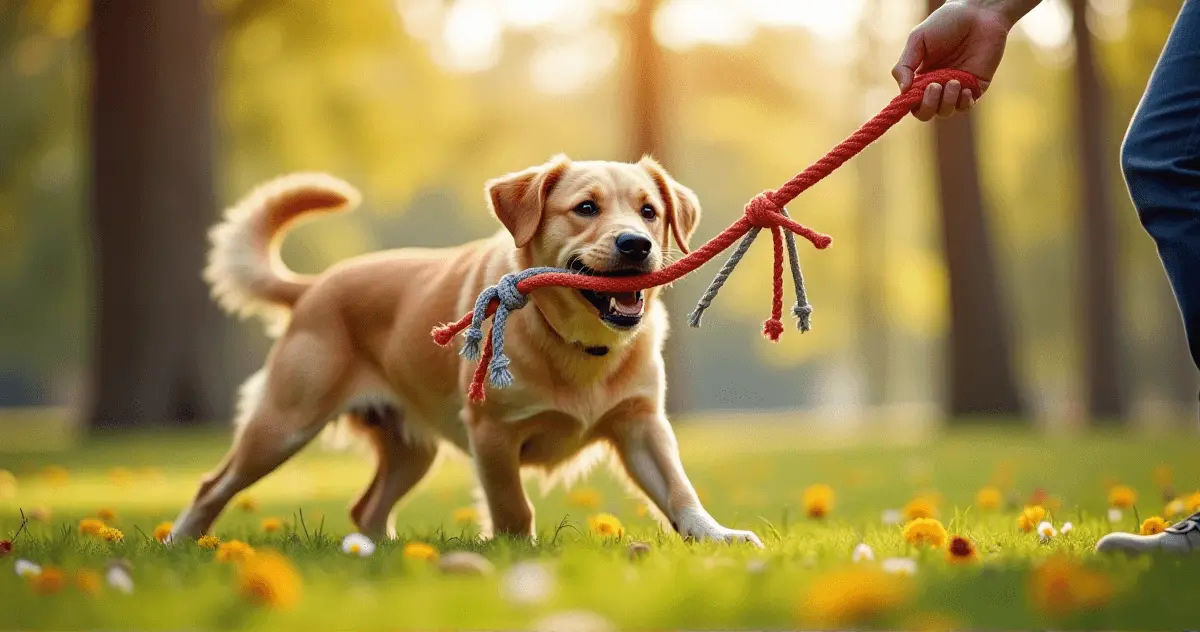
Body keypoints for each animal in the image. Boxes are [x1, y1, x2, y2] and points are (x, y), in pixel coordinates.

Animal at [171, 154, 758, 549]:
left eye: (649, 211)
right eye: (586, 208)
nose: (637, 244)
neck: (575, 344)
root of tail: (314, 286)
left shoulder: (641, 424)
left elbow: (680, 490)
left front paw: (715, 537)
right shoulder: (492, 433)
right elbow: (513, 507)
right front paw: (517, 556)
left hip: (412, 452)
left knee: (365, 508)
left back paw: (383, 555)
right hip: (283, 424)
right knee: (211, 485)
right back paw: (178, 544)